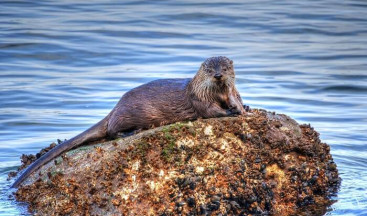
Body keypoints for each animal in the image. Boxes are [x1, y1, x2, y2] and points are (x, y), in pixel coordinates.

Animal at [11, 56, 247, 187]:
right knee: (111, 130)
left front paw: (243, 108)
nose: (218, 75)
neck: (217, 93)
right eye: (209, 69)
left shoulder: (232, 93)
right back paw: (133, 131)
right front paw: (229, 112)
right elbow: (210, 111)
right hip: (127, 114)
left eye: (225, 69)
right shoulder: (199, 98)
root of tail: (115, 107)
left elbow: (237, 100)